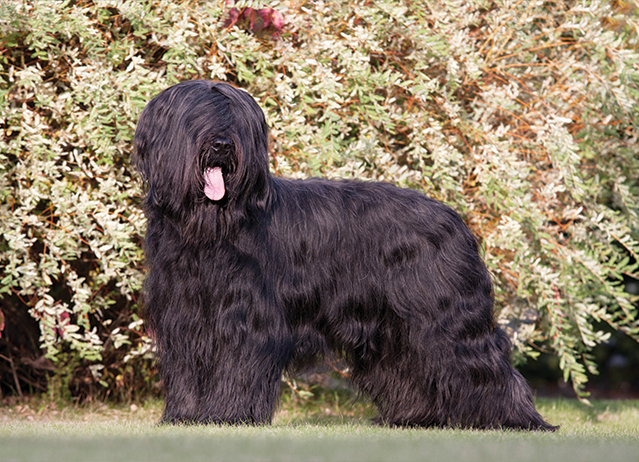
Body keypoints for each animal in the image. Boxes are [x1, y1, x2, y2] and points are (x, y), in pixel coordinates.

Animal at [134, 78, 556, 430]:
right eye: (196, 118)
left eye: (234, 121)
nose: (222, 145)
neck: (212, 225)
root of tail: (454, 218)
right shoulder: (185, 317)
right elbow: (188, 371)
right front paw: (185, 417)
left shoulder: (246, 318)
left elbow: (236, 367)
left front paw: (226, 416)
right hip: (397, 325)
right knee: (409, 365)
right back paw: (414, 418)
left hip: (444, 312)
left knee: (482, 358)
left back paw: (514, 420)